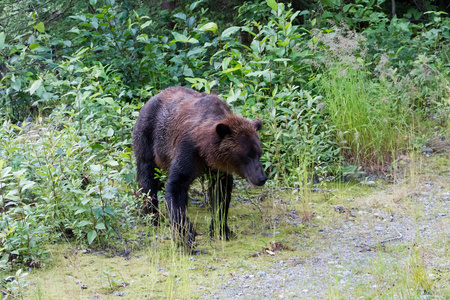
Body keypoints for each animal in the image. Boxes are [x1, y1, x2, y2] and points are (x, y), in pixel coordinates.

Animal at [134, 86, 268, 246]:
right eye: (248, 155)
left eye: (259, 153)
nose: (262, 178)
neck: (205, 150)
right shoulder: (188, 150)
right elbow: (177, 185)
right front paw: (187, 232)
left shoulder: (219, 167)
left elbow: (220, 193)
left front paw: (222, 230)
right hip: (149, 136)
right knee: (147, 177)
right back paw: (153, 216)